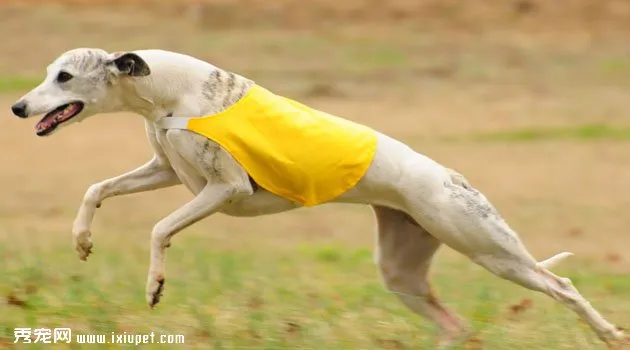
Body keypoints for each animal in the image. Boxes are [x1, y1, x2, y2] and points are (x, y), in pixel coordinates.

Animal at [8, 48, 628, 348]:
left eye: (65, 77)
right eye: (48, 73)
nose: (17, 107)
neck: (164, 91)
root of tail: (452, 176)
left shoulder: (223, 190)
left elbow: (159, 228)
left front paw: (155, 285)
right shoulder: (167, 171)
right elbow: (96, 188)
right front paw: (82, 240)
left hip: (488, 247)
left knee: (561, 284)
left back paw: (606, 334)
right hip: (403, 269)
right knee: (456, 327)